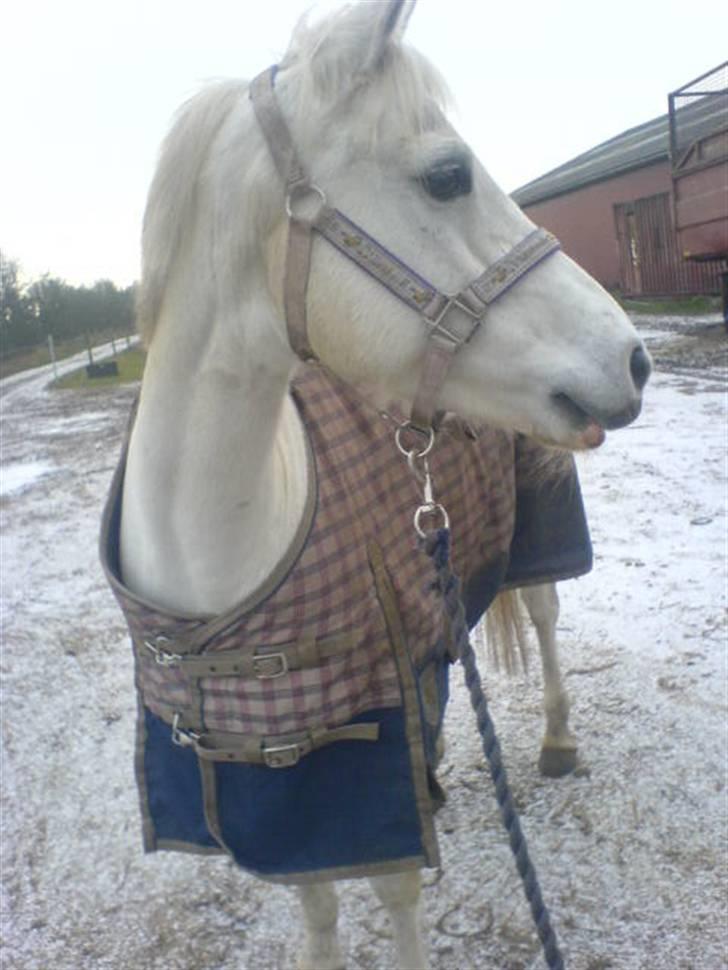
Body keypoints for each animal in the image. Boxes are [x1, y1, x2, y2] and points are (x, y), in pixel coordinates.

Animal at [104, 2, 650, 967]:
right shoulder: (288, 785)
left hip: (538, 538)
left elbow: (396, 889)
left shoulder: (374, 756)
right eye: (447, 176)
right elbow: (319, 903)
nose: (633, 359)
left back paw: (557, 737)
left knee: (546, 617)